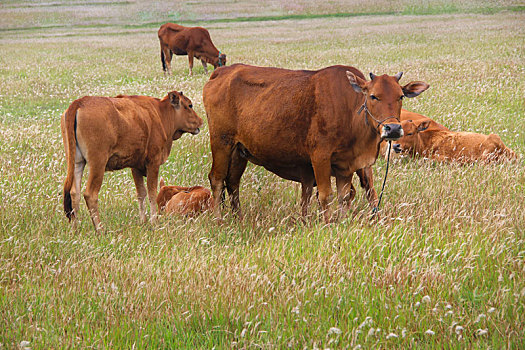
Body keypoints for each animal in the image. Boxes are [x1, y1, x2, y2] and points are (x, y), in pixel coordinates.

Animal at [60, 91, 202, 231]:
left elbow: (141, 193)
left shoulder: (136, 166)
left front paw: (143, 221)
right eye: (190, 105)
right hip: (97, 164)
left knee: (74, 193)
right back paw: (100, 230)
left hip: (77, 163)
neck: (160, 113)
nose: (200, 122)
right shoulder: (153, 162)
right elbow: (151, 193)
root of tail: (80, 102)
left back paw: (75, 229)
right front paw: (154, 222)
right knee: (90, 194)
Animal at [203, 64, 428, 223]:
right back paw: (219, 220)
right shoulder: (320, 157)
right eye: (373, 96)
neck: (350, 111)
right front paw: (327, 225)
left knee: (233, 182)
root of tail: (222, 72)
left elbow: (345, 196)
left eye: (400, 96)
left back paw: (238, 219)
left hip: (239, 150)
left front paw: (342, 223)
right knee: (217, 179)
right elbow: (325, 195)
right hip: (221, 142)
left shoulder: (346, 165)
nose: (393, 129)